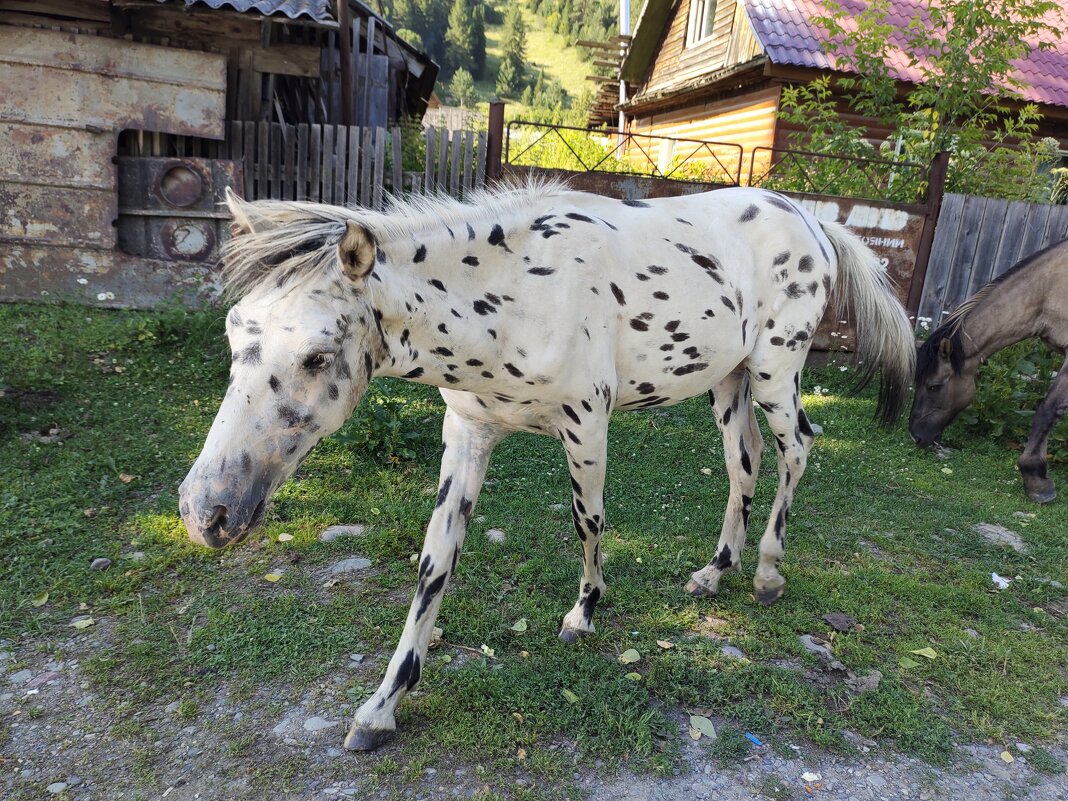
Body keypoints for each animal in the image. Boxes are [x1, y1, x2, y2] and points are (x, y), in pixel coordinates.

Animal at [179, 180, 914, 751]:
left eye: (315, 356)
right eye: (234, 333)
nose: (206, 512)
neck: (514, 294)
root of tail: (815, 222)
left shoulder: (586, 424)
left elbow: (589, 520)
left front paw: (584, 612)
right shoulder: (467, 435)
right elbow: (434, 565)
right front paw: (380, 708)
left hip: (774, 373)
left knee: (797, 449)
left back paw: (766, 572)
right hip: (727, 381)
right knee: (745, 462)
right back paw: (714, 571)